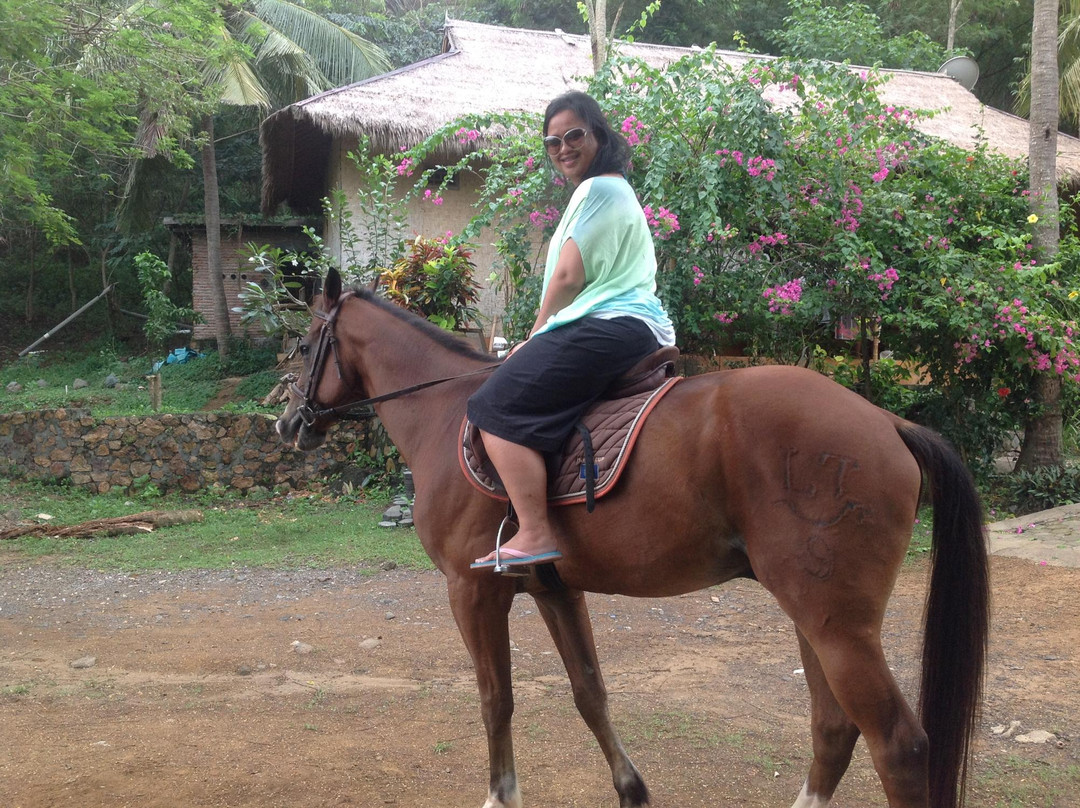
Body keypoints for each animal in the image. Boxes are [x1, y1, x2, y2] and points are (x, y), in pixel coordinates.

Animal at [276, 267, 989, 808]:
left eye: (307, 344)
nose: (285, 423)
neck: (445, 411)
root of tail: (887, 422)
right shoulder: (554, 591)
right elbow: (589, 692)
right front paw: (631, 790)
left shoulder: (472, 591)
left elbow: (495, 698)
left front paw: (500, 796)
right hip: (814, 617)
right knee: (835, 728)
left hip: (836, 624)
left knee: (898, 744)